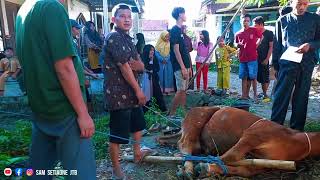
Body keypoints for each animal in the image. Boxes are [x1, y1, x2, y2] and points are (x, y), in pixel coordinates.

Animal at [158, 106, 320, 178]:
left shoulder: (264, 163)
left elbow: (244, 170)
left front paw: (209, 168)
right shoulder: (252, 134)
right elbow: (231, 155)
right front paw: (204, 166)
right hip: (198, 118)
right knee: (185, 143)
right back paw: (187, 168)